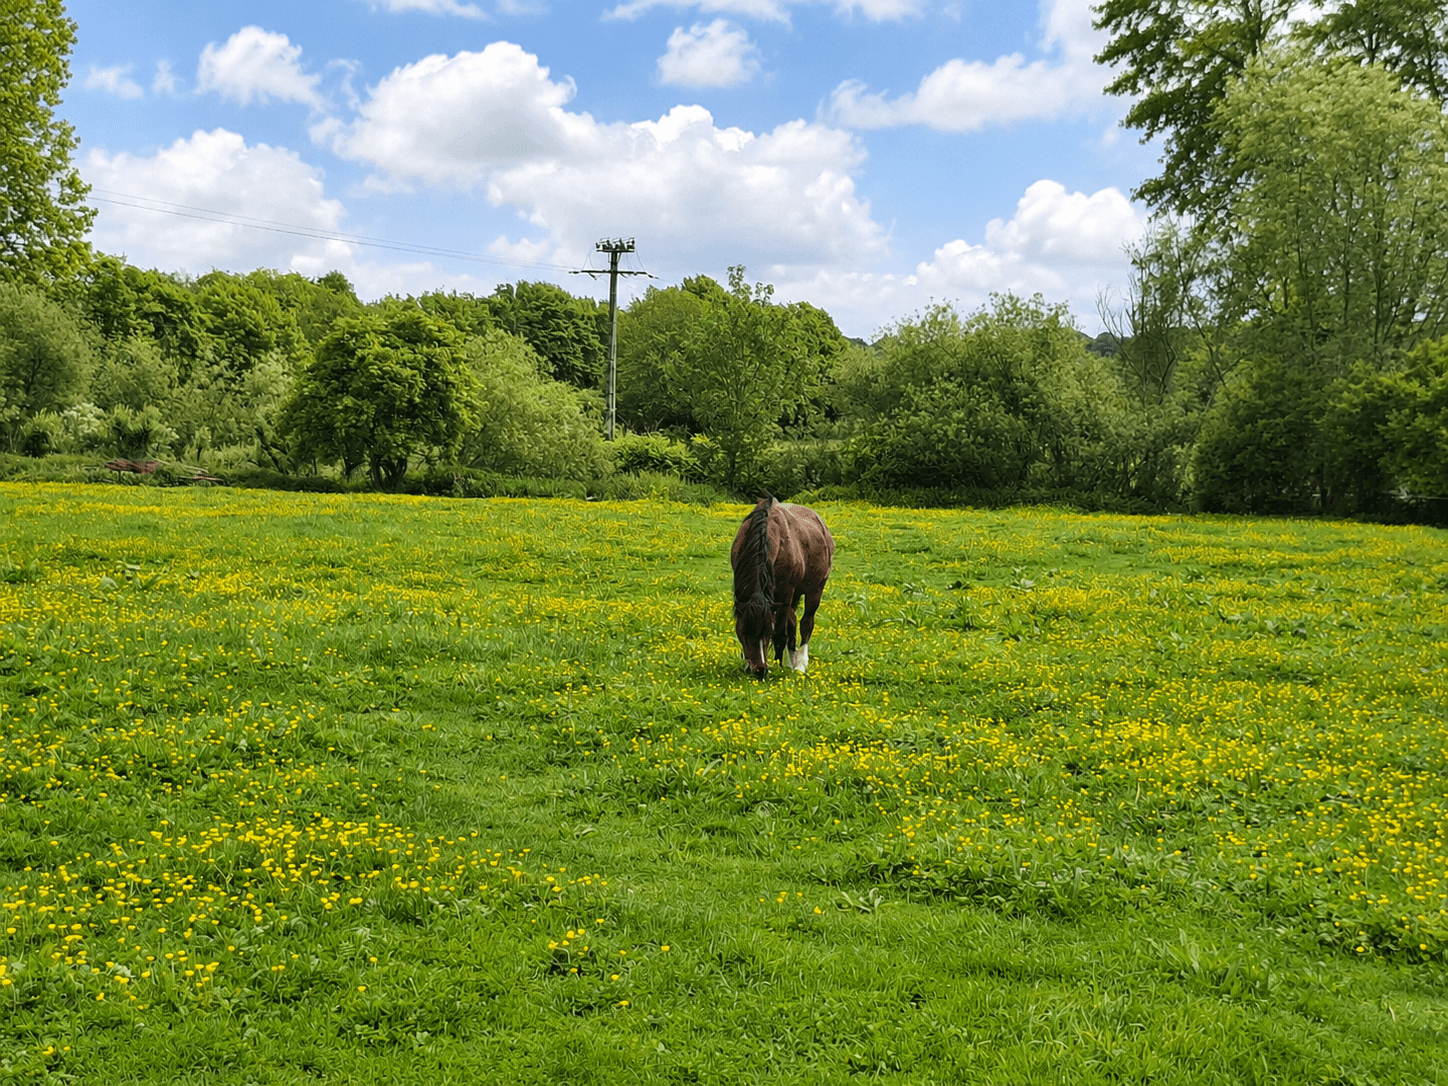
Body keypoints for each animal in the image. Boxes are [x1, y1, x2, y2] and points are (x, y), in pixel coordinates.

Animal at [730, 491, 834, 678]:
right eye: (744, 632)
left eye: (767, 633)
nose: (760, 670)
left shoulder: (785, 594)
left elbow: (780, 632)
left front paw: (779, 662)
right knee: (792, 623)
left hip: (815, 589)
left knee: (806, 623)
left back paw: (800, 664)